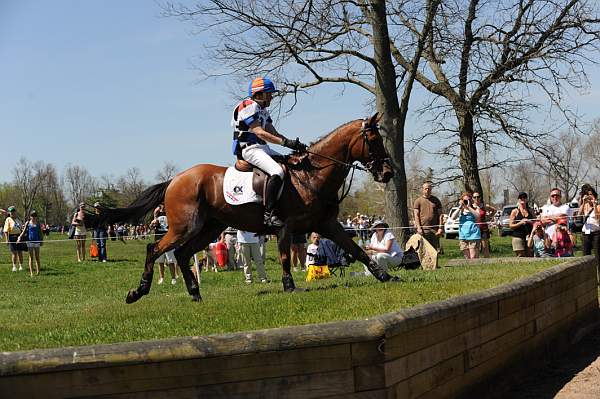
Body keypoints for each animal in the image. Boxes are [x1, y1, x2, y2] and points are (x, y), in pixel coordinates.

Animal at [99, 113, 396, 304]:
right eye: (374, 140)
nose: (388, 173)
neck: (310, 176)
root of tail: (175, 179)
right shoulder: (286, 227)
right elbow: (286, 258)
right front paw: (289, 286)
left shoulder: (328, 225)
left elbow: (357, 249)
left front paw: (385, 275)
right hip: (184, 226)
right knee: (155, 249)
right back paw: (138, 292)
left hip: (209, 229)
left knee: (182, 254)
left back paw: (195, 293)